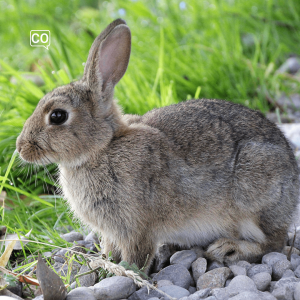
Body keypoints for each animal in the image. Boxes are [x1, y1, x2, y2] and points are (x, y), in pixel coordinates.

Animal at [17, 17, 300, 268]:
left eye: (58, 116)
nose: (21, 148)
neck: (103, 147)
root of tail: (293, 180)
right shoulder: (112, 231)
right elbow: (110, 247)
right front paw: (103, 262)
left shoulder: (136, 227)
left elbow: (137, 254)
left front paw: (125, 271)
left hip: (255, 194)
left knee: (274, 243)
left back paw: (228, 248)